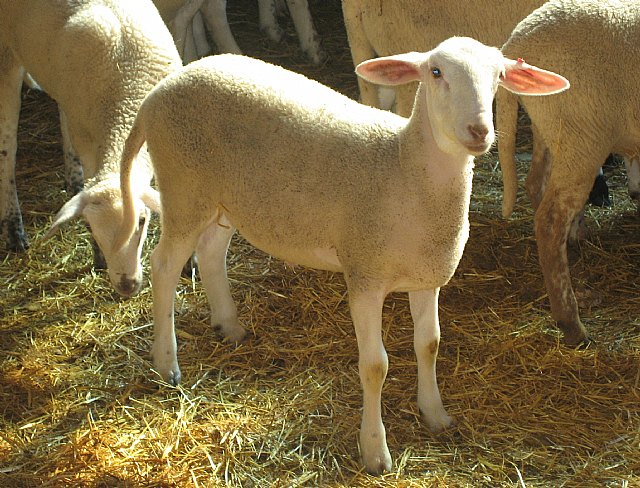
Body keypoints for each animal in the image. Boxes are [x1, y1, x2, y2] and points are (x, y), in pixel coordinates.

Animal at [0, 0, 180, 292]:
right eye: (89, 227)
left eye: (142, 221)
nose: (127, 286)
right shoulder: (89, 143)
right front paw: (98, 257)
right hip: (6, 56)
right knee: (7, 145)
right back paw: (14, 230)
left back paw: (73, 183)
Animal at [112, 40, 568, 474]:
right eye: (436, 72)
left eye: (499, 76)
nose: (479, 130)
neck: (402, 167)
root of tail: (160, 91)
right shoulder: (364, 276)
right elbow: (375, 367)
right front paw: (375, 451)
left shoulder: (427, 275)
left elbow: (430, 345)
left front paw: (435, 414)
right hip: (185, 187)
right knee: (164, 266)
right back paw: (166, 364)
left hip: (224, 198)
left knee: (210, 253)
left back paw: (230, 326)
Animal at [496, 0, 640, 346]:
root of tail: (517, 41)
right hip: (583, 133)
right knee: (550, 219)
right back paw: (572, 324)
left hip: (551, 129)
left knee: (535, 184)